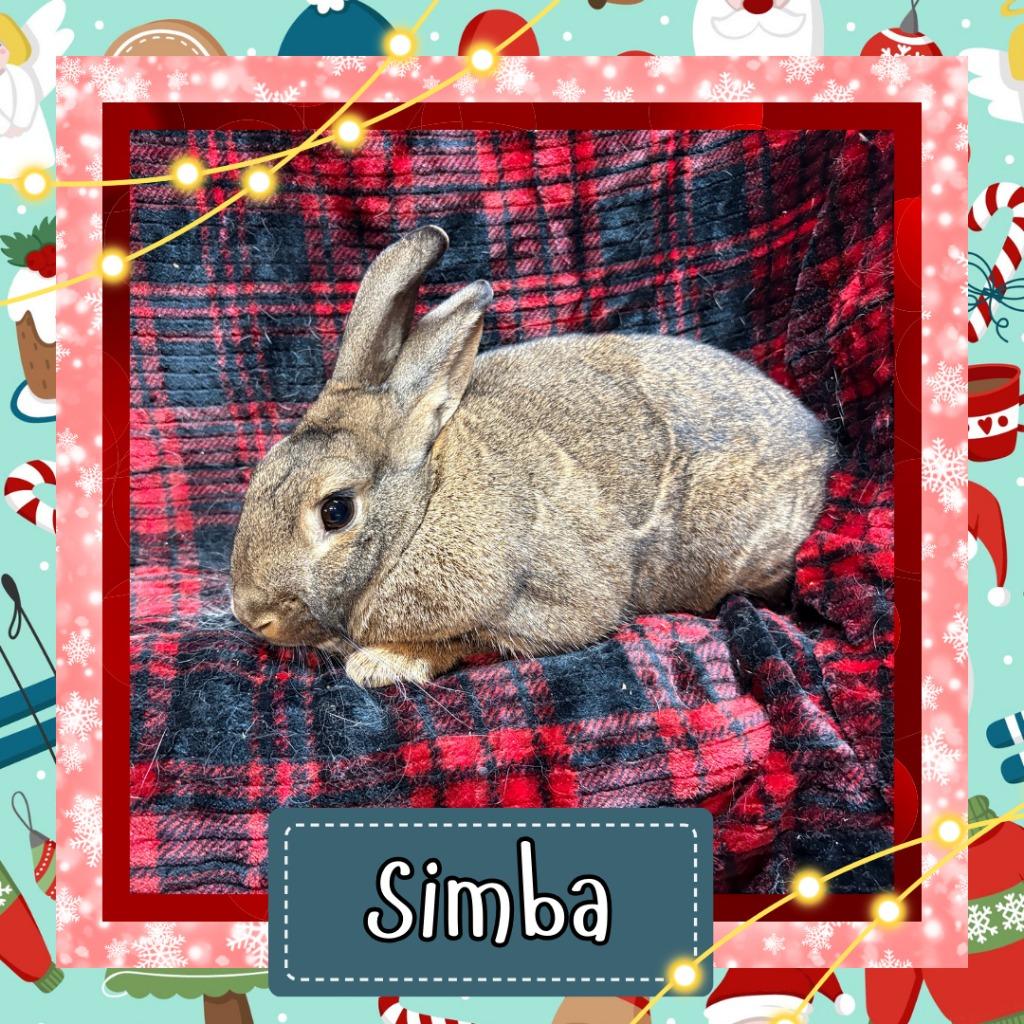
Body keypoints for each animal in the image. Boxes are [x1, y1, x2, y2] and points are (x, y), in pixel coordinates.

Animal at [229, 225, 833, 688]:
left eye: (336, 510)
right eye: (262, 470)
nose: (251, 615)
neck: (424, 506)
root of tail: (821, 447)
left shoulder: (543, 606)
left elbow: (468, 641)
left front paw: (380, 664)